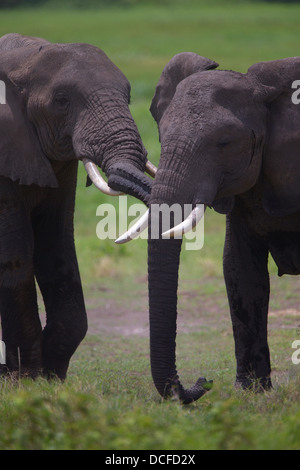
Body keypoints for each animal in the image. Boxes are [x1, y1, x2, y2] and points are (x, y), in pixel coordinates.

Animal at [0, 32, 155, 378]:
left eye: (128, 95)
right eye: (61, 101)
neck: (24, 57)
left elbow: (56, 247)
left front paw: (50, 378)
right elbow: (16, 255)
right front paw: (27, 380)